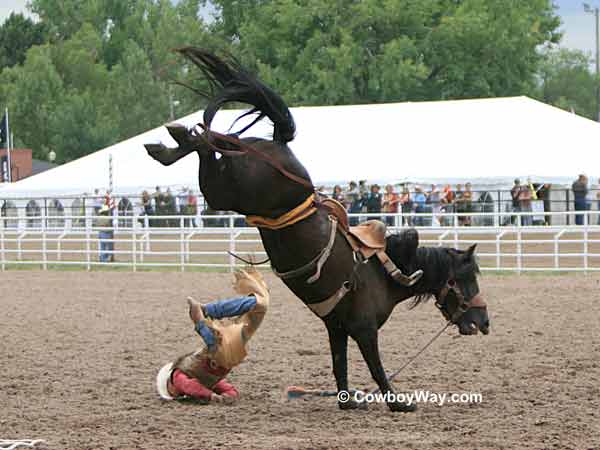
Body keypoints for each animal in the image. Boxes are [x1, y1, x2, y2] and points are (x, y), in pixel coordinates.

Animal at [144, 48, 488, 412]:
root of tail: (278, 142)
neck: (388, 273)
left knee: (213, 143)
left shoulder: (337, 328)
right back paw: (178, 137)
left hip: (229, 185)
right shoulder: (365, 329)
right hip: (234, 189)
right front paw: (398, 402)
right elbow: (376, 367)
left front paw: (349, 401)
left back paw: (169, 144)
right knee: (209, 144)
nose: (484, 322)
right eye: (466, 278)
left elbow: (340, 364)